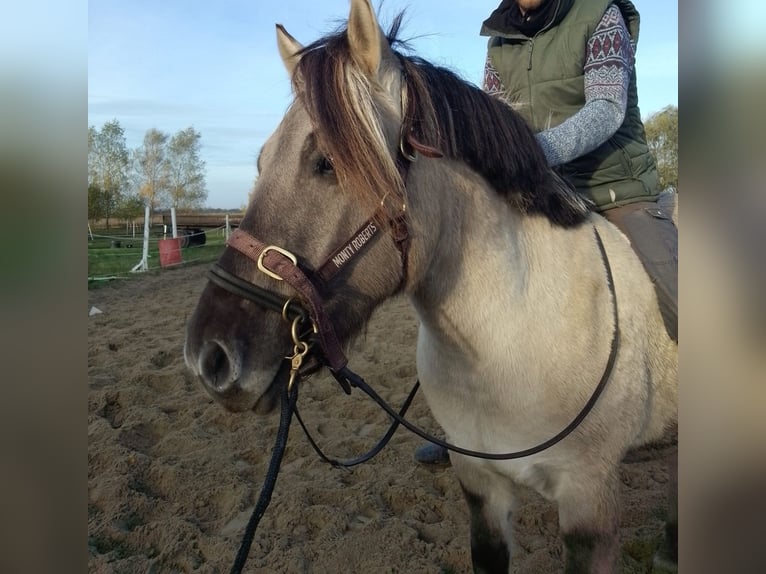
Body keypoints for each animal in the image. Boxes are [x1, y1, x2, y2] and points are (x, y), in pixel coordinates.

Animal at [184, 0, 678, 571]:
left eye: (324, 163)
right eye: (262, 161)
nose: (208, 357)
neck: (512, 337)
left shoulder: (588, 502)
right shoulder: (482, 488)